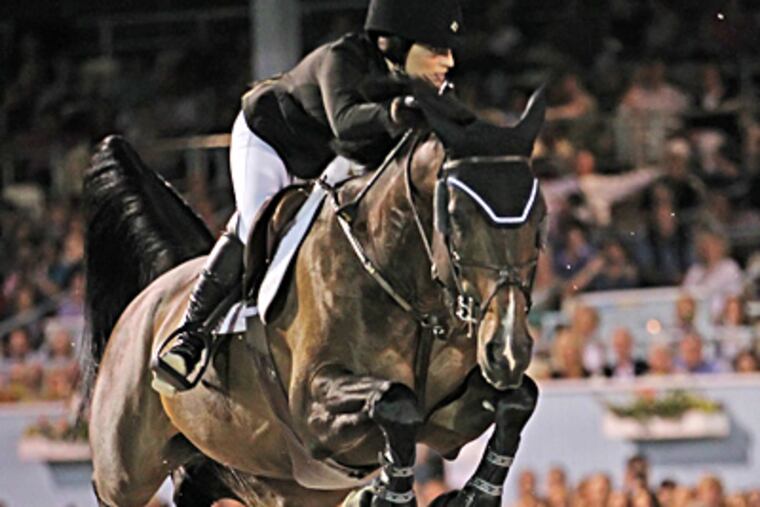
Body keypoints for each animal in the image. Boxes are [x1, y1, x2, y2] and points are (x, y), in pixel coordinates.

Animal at [81, 85, 547, 507]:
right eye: (456, 217)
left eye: (540, 216)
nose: (508, 350)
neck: (415, 300)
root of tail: (149, 299)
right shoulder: (312, 410)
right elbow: (397, 402)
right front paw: (390, 496)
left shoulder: (447, 421)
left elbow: (519, 398)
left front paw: (473, 495)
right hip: (124, 472)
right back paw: (183, 351)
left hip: (275, 480)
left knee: (197, 485)